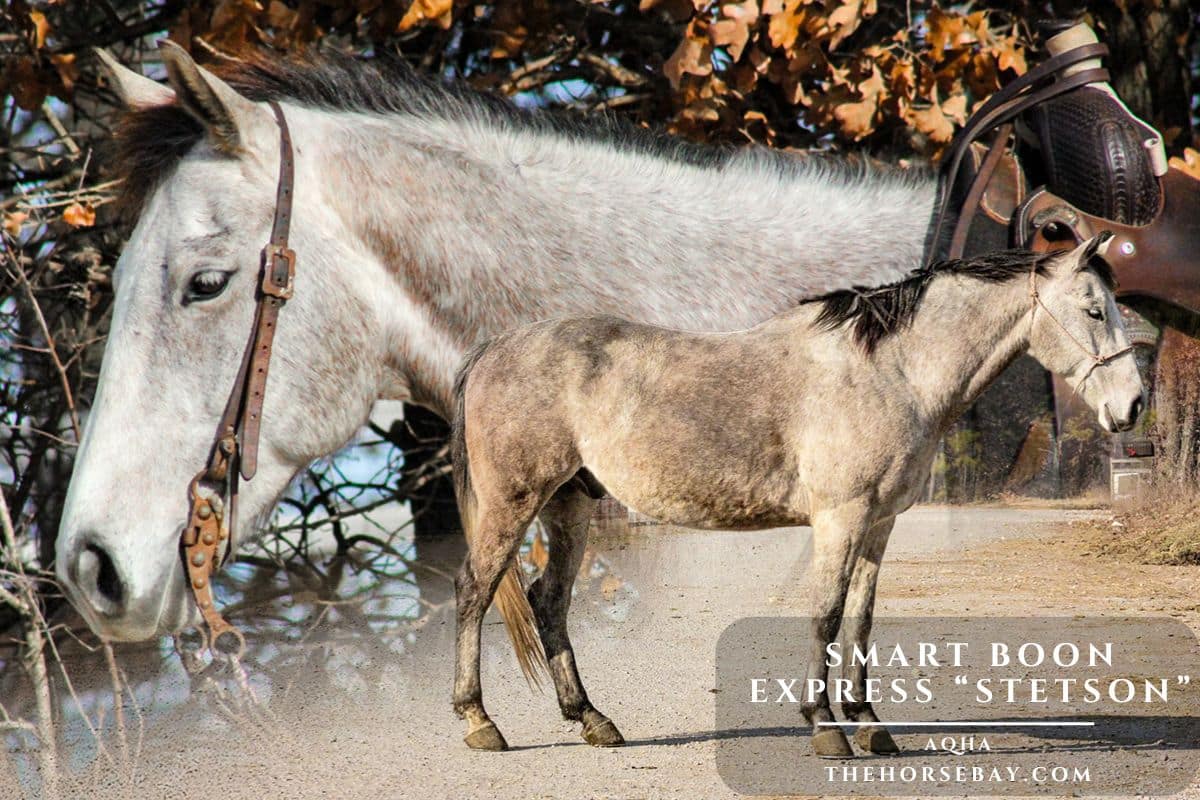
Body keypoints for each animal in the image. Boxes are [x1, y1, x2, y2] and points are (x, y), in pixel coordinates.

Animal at [448, 236, 1144, 755]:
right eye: (1093, 310)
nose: (1133, 406)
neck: (890, 370)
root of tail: (493, 348)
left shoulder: (880, 522)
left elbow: (861, 619)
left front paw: (869, 725)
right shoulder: (841, 516)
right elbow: (827, 614)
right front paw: (824, 728)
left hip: (569, 504)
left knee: (550, 601)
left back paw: (592, 720)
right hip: (515, 502)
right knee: (475, 590)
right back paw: (481, 722)